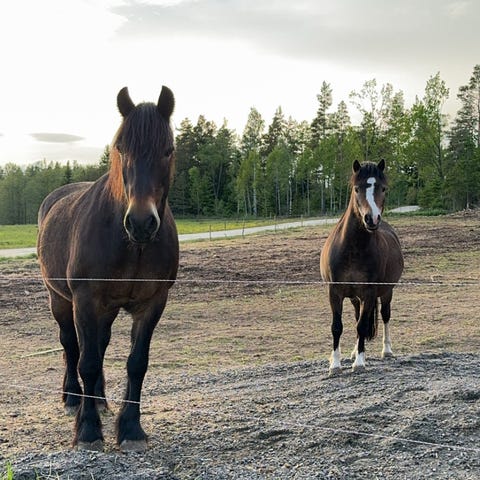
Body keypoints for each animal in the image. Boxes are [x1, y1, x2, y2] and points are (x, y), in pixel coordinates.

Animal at [37, 86, 179, 452]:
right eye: (121, 148)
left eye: (168, 150)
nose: (141, 223)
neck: (131, 245)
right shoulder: (85, 300)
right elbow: (86, 361)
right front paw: (88, 429)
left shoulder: (152, 303)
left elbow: (136, 363)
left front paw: (130, 428)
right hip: (60, 301)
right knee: (72, 346)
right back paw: (74, 398)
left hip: (107, 309)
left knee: (98, 345)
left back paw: (99, 399)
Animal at [320, 160, 403, 376]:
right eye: (357, 188)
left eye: (383, 188)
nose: (371, 219)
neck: (352, 249)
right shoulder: (335, 292)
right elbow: (337, 326)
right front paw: (335, 364)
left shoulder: (369, 292)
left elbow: (362, 326)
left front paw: (359, 362)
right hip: (355, 298)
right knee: (358, 316)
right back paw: (352, 352)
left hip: (386, 292)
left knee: (385, 316)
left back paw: (386, 350)